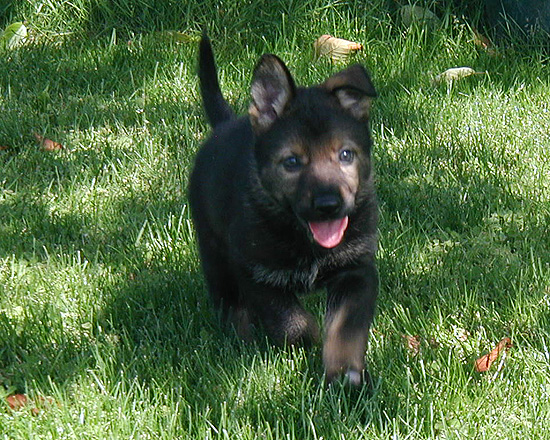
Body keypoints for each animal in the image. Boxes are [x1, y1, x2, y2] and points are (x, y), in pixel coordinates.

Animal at [190, 35, 380, 384]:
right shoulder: (255, 272)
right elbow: (292, 323)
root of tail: (224, 125)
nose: (328, 206)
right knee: (228, 301)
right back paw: (240, 338)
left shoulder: (356, 270)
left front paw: (344, 374)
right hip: (213, 250)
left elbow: (345, 330)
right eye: (292, 162)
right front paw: (308, 340)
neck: (305, 239)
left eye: (346, 155)